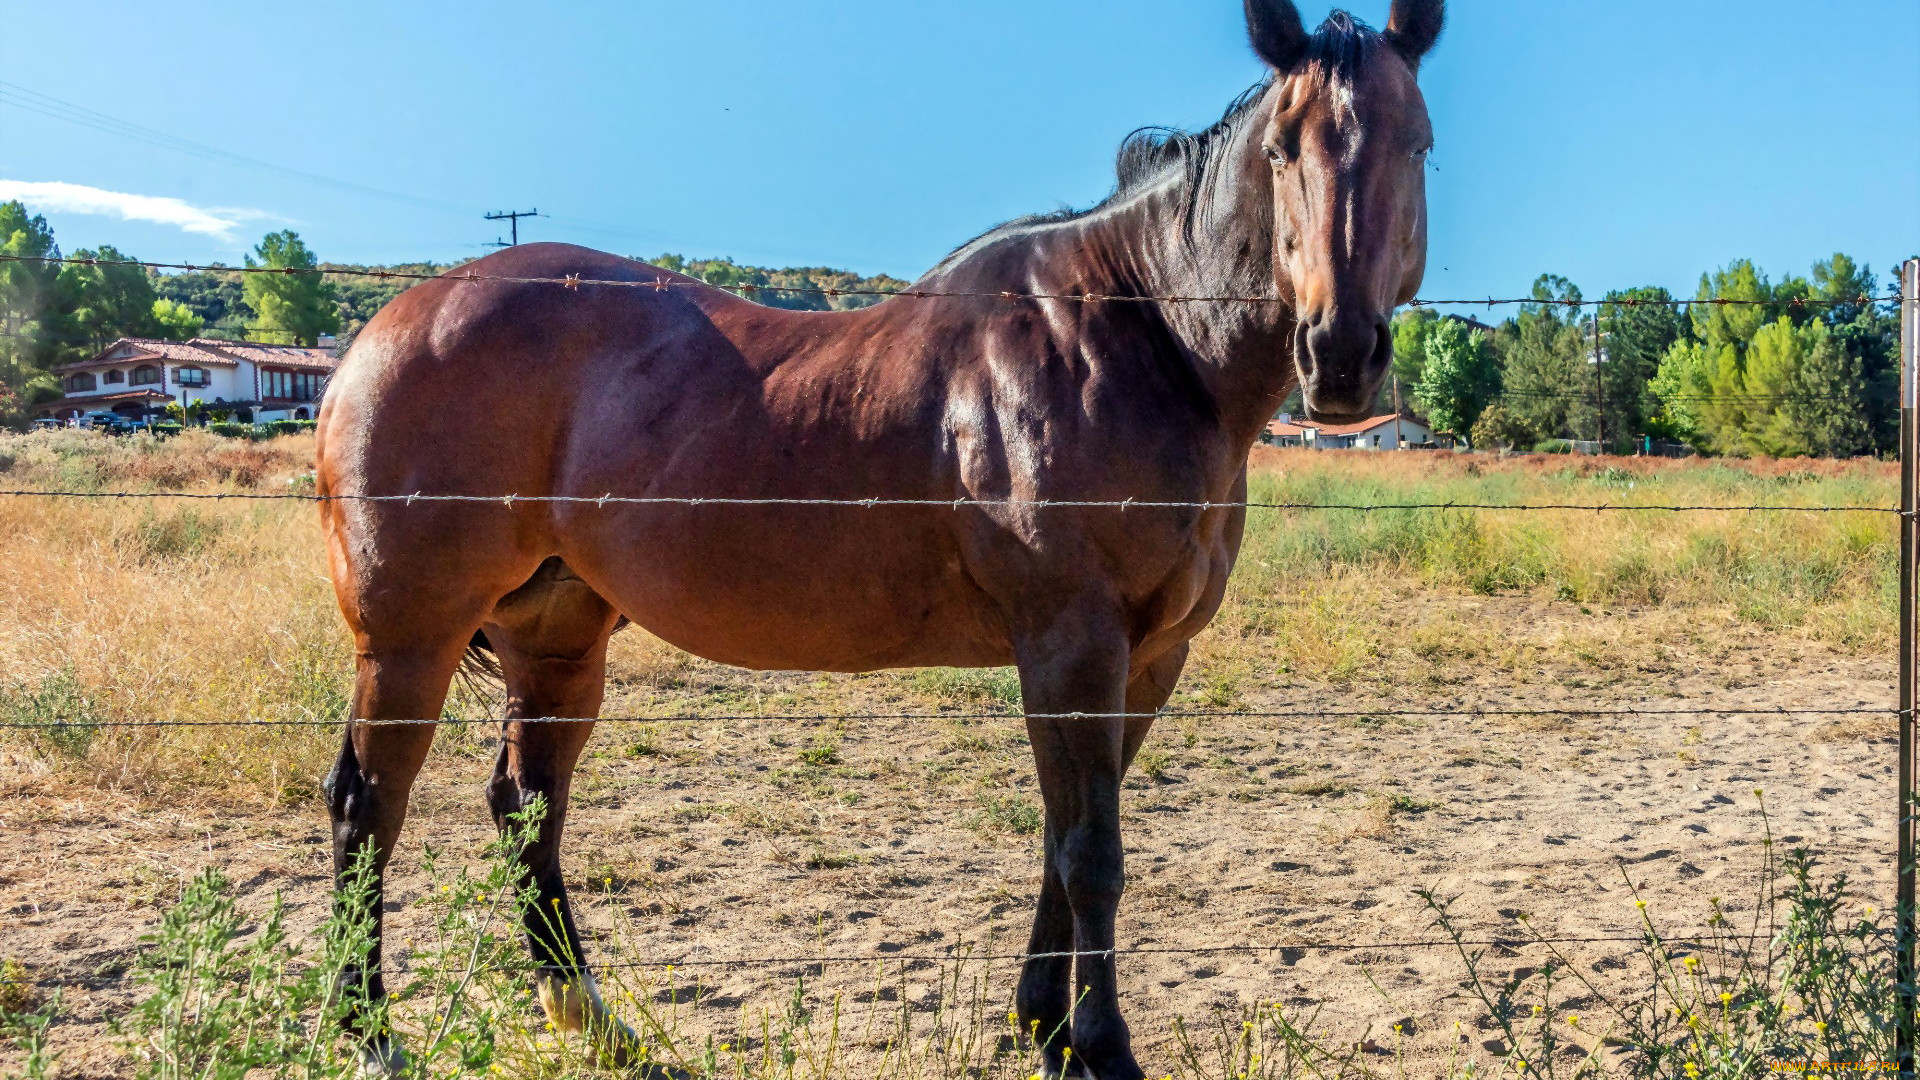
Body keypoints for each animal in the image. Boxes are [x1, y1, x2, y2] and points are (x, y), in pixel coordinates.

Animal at [314, 4, 1443, 1068]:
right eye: (1280, 150)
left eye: (1418, 142)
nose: (1341, 357)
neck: (1140, 337)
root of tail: (384, 331)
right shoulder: (1073, 647)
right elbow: (1091, 853)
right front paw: (1100, 1048)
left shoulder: (1150, 657)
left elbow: (1065, 838)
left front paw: (1044, 1024)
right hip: (410, 636)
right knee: (369, 802)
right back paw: (369, 1033)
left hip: (555, 636)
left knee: (525, 807)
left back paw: (597, 1026)